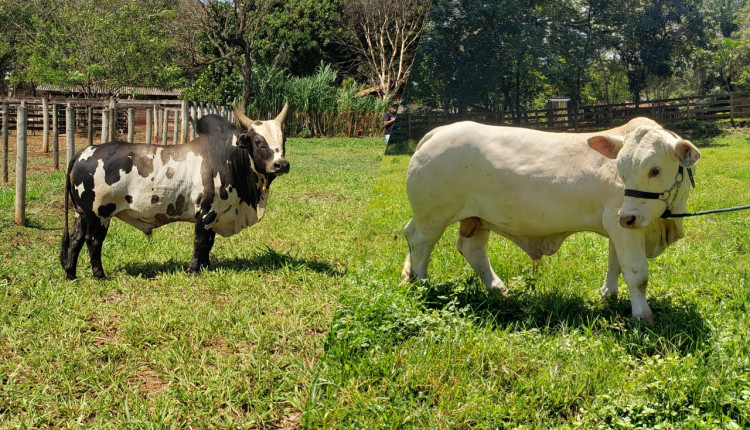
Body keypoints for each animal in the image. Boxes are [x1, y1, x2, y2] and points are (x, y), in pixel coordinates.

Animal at [61, 103, 290, 280]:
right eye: (259, 142)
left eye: (283, 141)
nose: (281, 164)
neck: (230, 157)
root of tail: (83, 153)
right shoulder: (206, 213)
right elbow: (201, 242)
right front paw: (193, 270)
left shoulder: (215, 215)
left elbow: (209, 243)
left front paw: (206, 267)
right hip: (99, 214)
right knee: (93, 241)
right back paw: (99, 275)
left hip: (81, 214)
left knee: (76, 239)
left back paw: (71, 274)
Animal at [402, 117, 704, 320]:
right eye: (621, 169)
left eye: (654, 170)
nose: (628, 216)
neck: (664, 220)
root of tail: (438, 131)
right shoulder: (622, 226)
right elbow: (636, 273)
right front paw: (642, 314)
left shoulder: (617, 226)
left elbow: (614, 265)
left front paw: (609, 294)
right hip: (433, 214)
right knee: (419, 241)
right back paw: (423, 284)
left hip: (476, 217)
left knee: (472, 249)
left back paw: (497, 288)